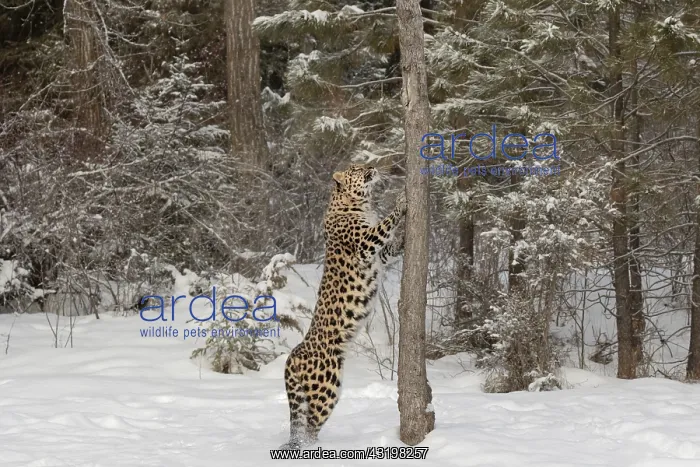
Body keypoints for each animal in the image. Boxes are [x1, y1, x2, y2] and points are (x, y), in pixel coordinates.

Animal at [279, 164, 407, 450]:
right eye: (357, 169)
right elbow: (385, 224)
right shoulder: (365, 244)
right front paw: (402, 203)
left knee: (304, 426)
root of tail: (293, 356)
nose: (372, 166)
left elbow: (390, 247)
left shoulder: (378, 255)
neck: (358, 203)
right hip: (327, 385)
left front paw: (404, 240)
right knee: (311, 426)